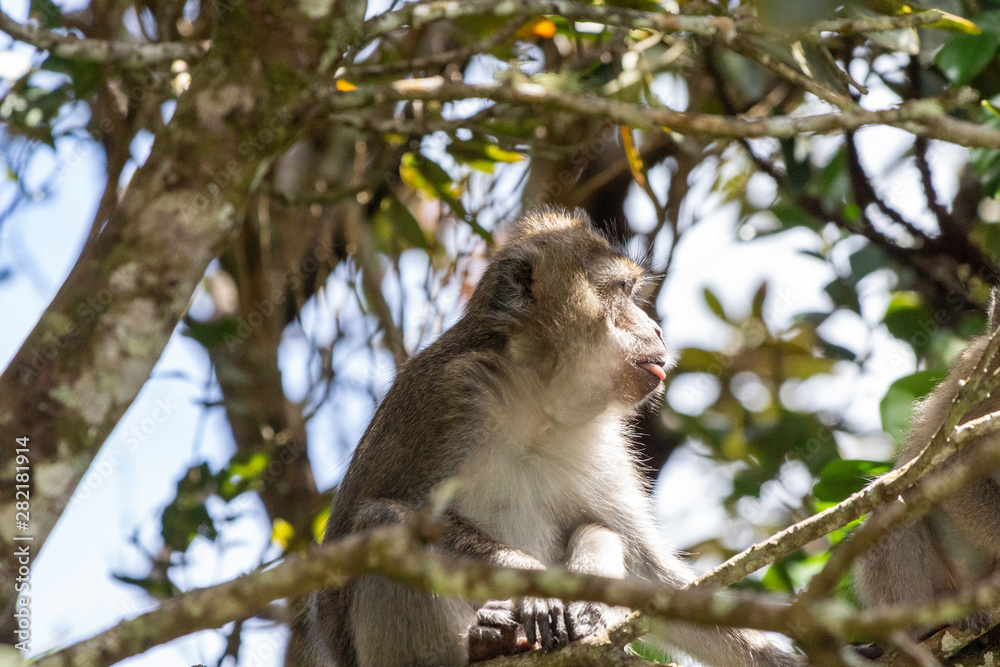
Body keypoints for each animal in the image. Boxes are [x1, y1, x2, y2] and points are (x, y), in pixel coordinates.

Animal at [308, 210, 808, 667]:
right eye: (622, 291)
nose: (657, 329)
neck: (536, 403)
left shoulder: (607, 441)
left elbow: (651, 574)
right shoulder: (445, 397)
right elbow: (361, 532)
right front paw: (531, 580)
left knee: (598, 529)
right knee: (381, 524)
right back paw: (485, 640)